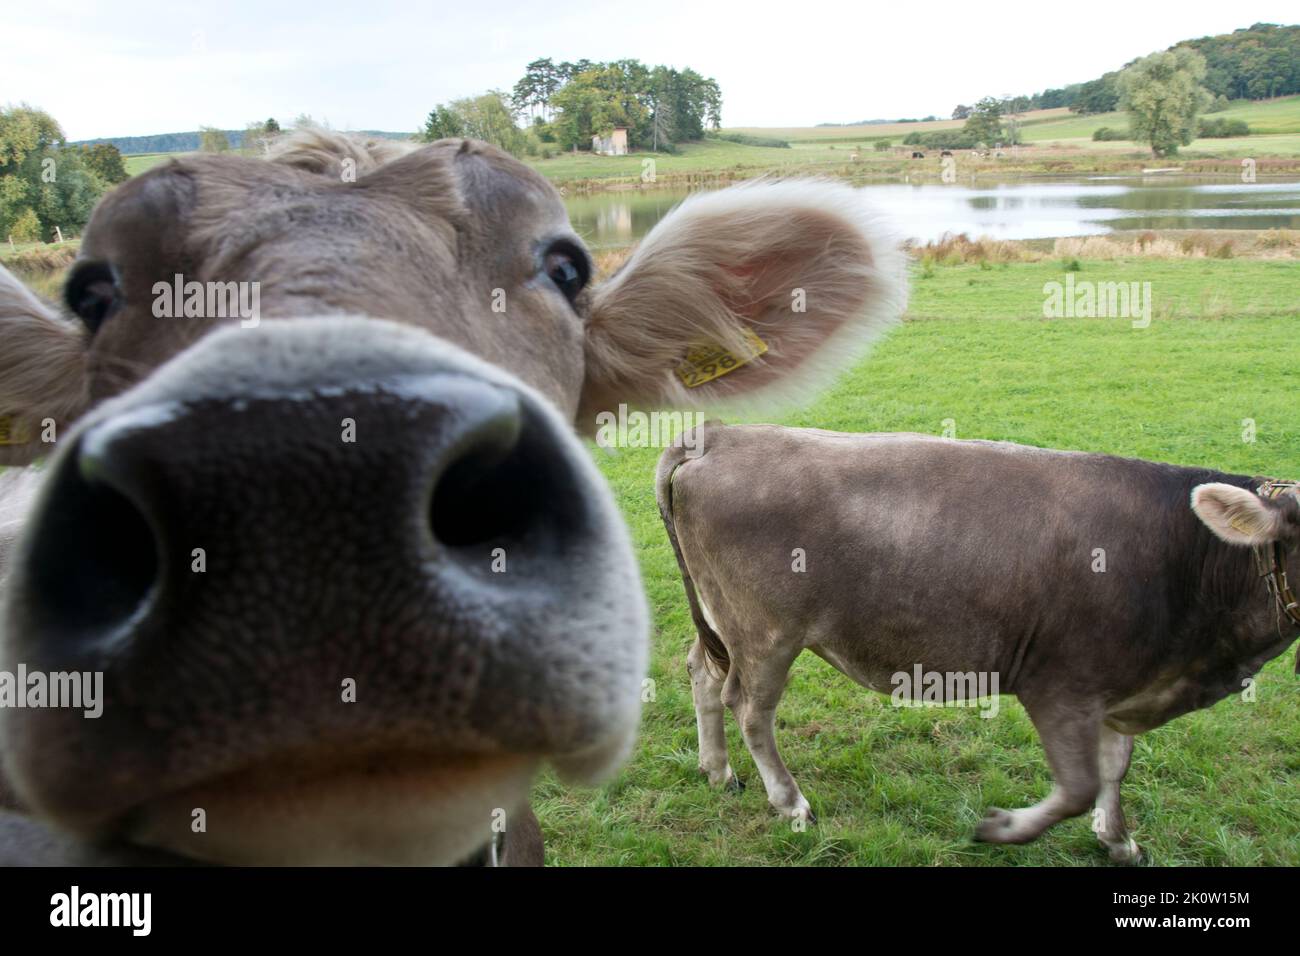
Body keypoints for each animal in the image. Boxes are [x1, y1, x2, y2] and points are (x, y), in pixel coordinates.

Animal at [660, 429, 1300, 863]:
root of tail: (720, 434)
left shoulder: (1122, 682)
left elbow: (1115, 767)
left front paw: (1119, 841)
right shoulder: (1061, 685)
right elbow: (1079, 786)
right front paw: (1004, 829)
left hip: (720, 621)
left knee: (703, 674)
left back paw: (717, 772)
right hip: (766, 632)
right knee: (750, 707)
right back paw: (791, 803)